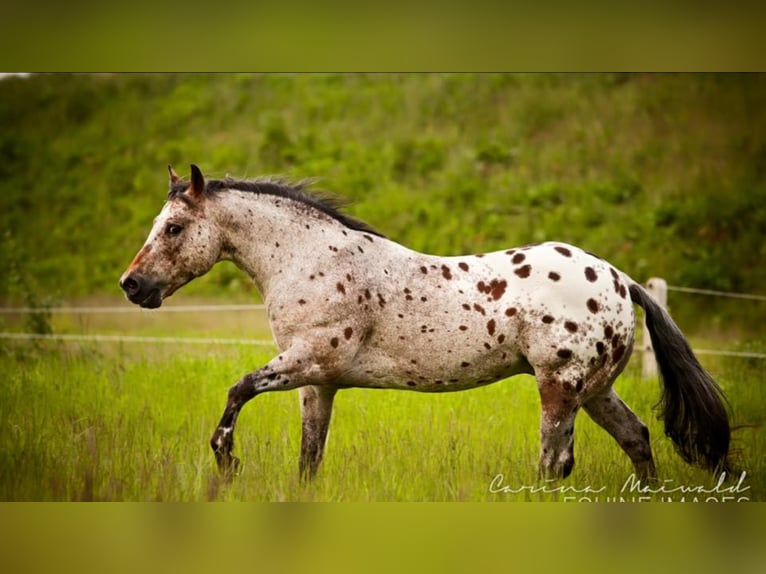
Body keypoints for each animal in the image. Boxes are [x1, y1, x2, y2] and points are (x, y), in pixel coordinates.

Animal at [120, 164, 732, 483]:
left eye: (173, 227)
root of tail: (619, 278)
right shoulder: (318, 383)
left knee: (555, 460)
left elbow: (237, 390)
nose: (132, 286)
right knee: (636, 437)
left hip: (560, 388)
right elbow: (309, 456)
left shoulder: (307, 361)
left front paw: (226, 461)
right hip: (595, 389)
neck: (308, 259)